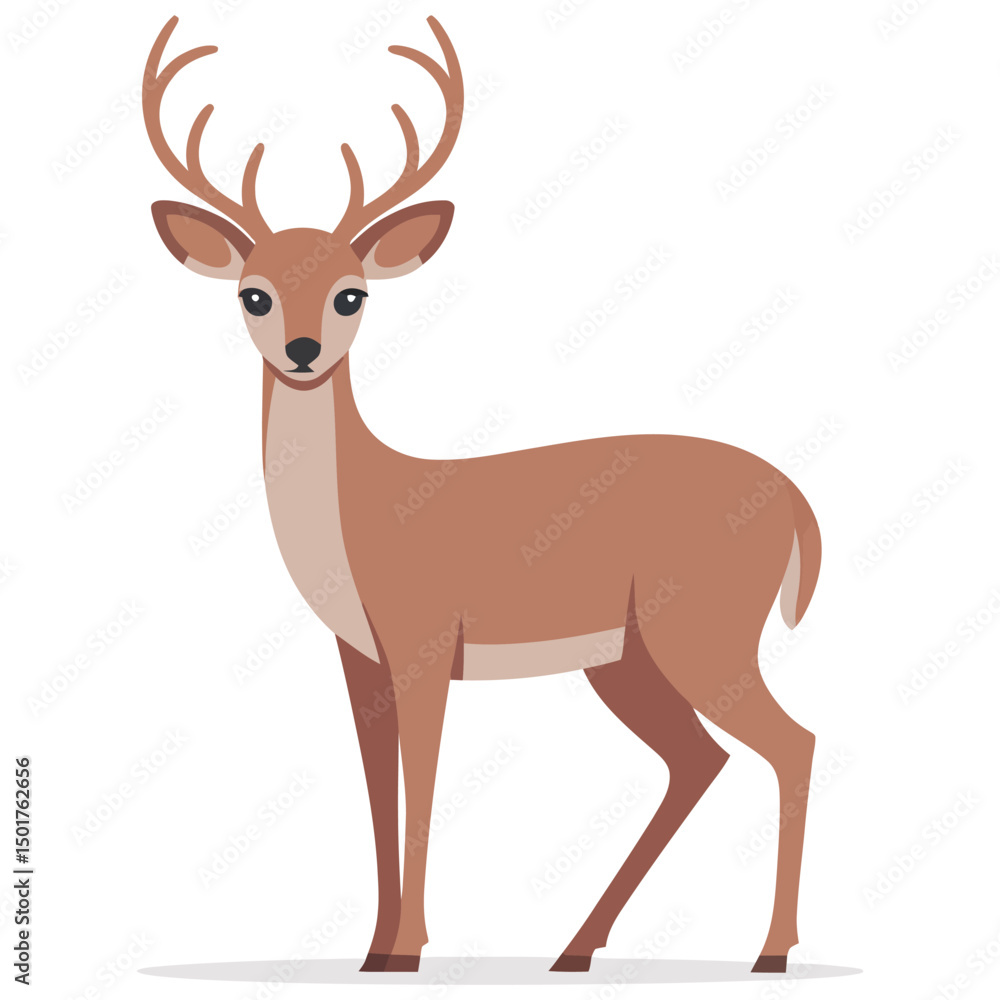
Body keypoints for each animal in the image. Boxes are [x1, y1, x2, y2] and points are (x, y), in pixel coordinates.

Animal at [143, 14, 821, 976]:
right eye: (255, 295)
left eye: (351, 293)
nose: (305, 352)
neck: (364, 514)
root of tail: (798, 500)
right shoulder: (359, 658)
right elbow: (377, 792)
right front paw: (373, 948)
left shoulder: (426, 639)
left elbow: (422, 783)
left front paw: (407, 949)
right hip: (628, 658)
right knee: (699, 760)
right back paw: (576, 949)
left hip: (703, 632)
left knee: (790, 744)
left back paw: (769, 952)